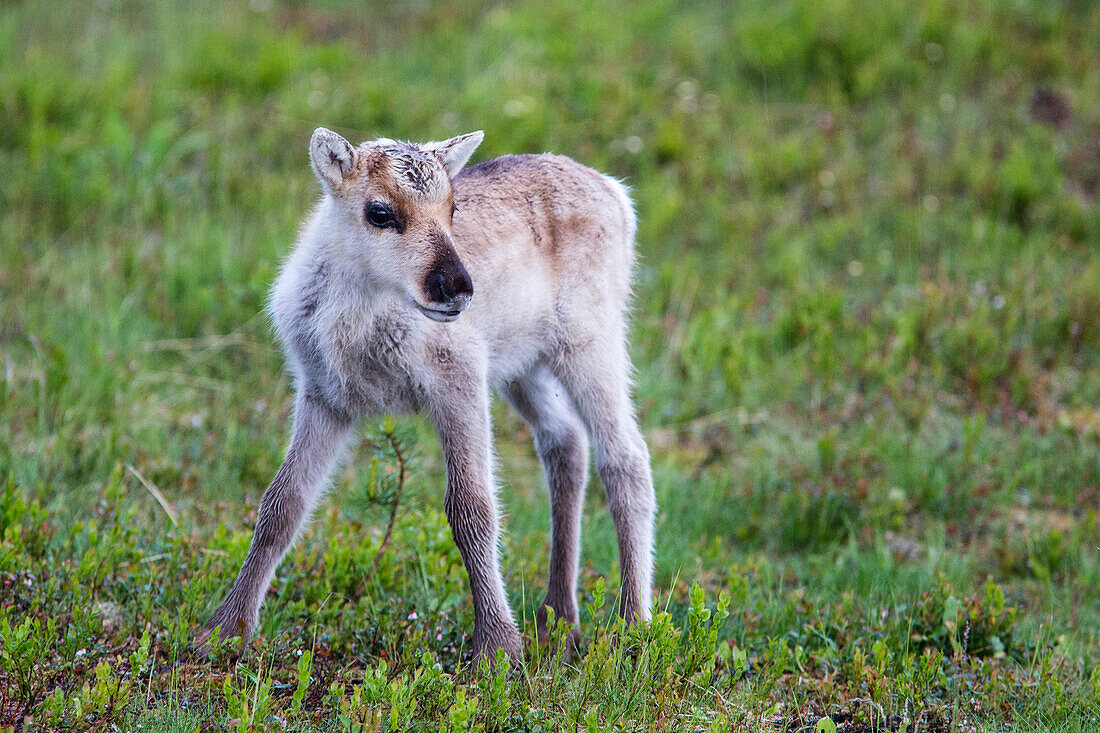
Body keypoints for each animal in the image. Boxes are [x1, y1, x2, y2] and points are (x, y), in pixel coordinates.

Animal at [200, 127, 651, 660]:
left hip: (590, 338)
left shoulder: (459, 378)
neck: (361, 312)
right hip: (523, 364)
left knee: (625, 457)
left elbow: (472, 509)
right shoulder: (324, 394)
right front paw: (223, 630)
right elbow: (281, 504)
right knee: (566, 442)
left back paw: (633, 627)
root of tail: (617, 194)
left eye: (453, 208)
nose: (456, 287)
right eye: (379, 212)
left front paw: (496, 649)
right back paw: (556, 619)